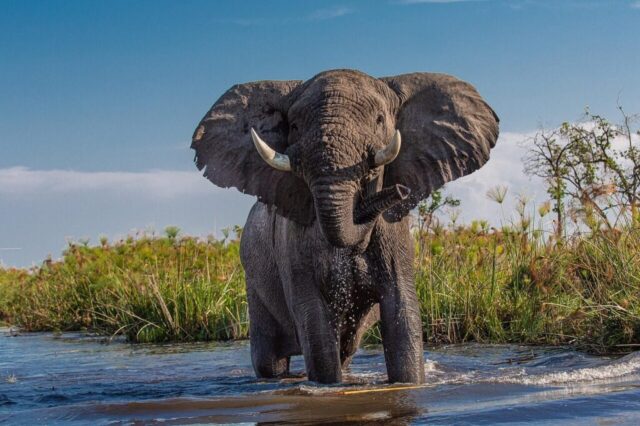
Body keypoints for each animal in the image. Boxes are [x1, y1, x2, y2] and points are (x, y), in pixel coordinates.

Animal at [191, 69, 499, 384]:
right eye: (295, 126)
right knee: (270, 360)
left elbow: (402, 313)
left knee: (345, 351)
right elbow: (314, 321)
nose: (400, 190)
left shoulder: (395, 236)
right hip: (254, 278)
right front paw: (328, 387)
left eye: (379, 119)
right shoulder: (293, 243)